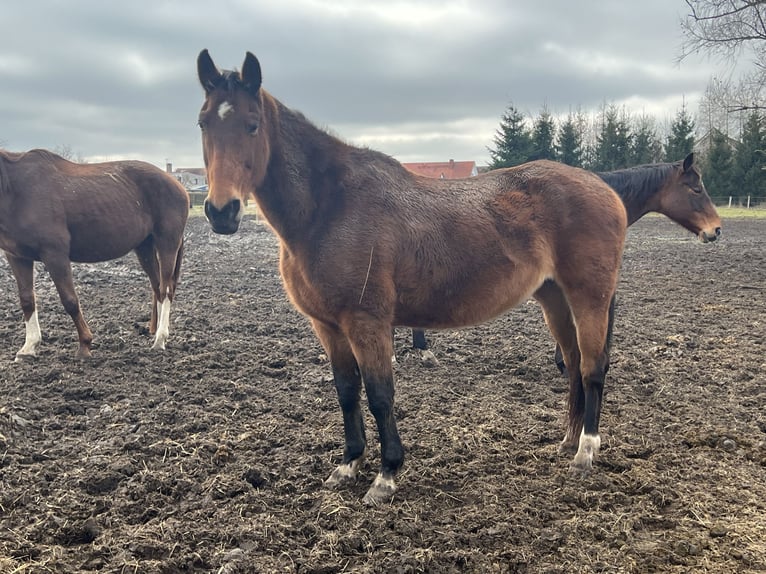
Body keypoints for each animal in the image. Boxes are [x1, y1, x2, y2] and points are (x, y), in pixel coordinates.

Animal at [0, 148, 190, 360]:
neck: (16, 190)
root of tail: (177, 184)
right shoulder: (17, 257)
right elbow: (26, 300)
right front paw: (28, 347)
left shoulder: (54, 254)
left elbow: (70, 300)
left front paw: (85, 344)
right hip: (145, 248)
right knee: (157, 287)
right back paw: (155, 331)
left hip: (167, 244)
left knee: (166, 289)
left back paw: (160, 339)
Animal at [196, 51, 632, 506]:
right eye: (203, 122)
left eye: (252, 124)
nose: (221, 211)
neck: (329, 209)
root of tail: (605, 188)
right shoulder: (328, 327)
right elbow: (346, 393)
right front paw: (348, 465)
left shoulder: (367, 323)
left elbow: (379, 396)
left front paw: (386, 475)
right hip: (554, 299)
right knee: (575, 363)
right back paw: (568, 440)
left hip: (589, 297)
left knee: (592, 367)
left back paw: (585, 452)